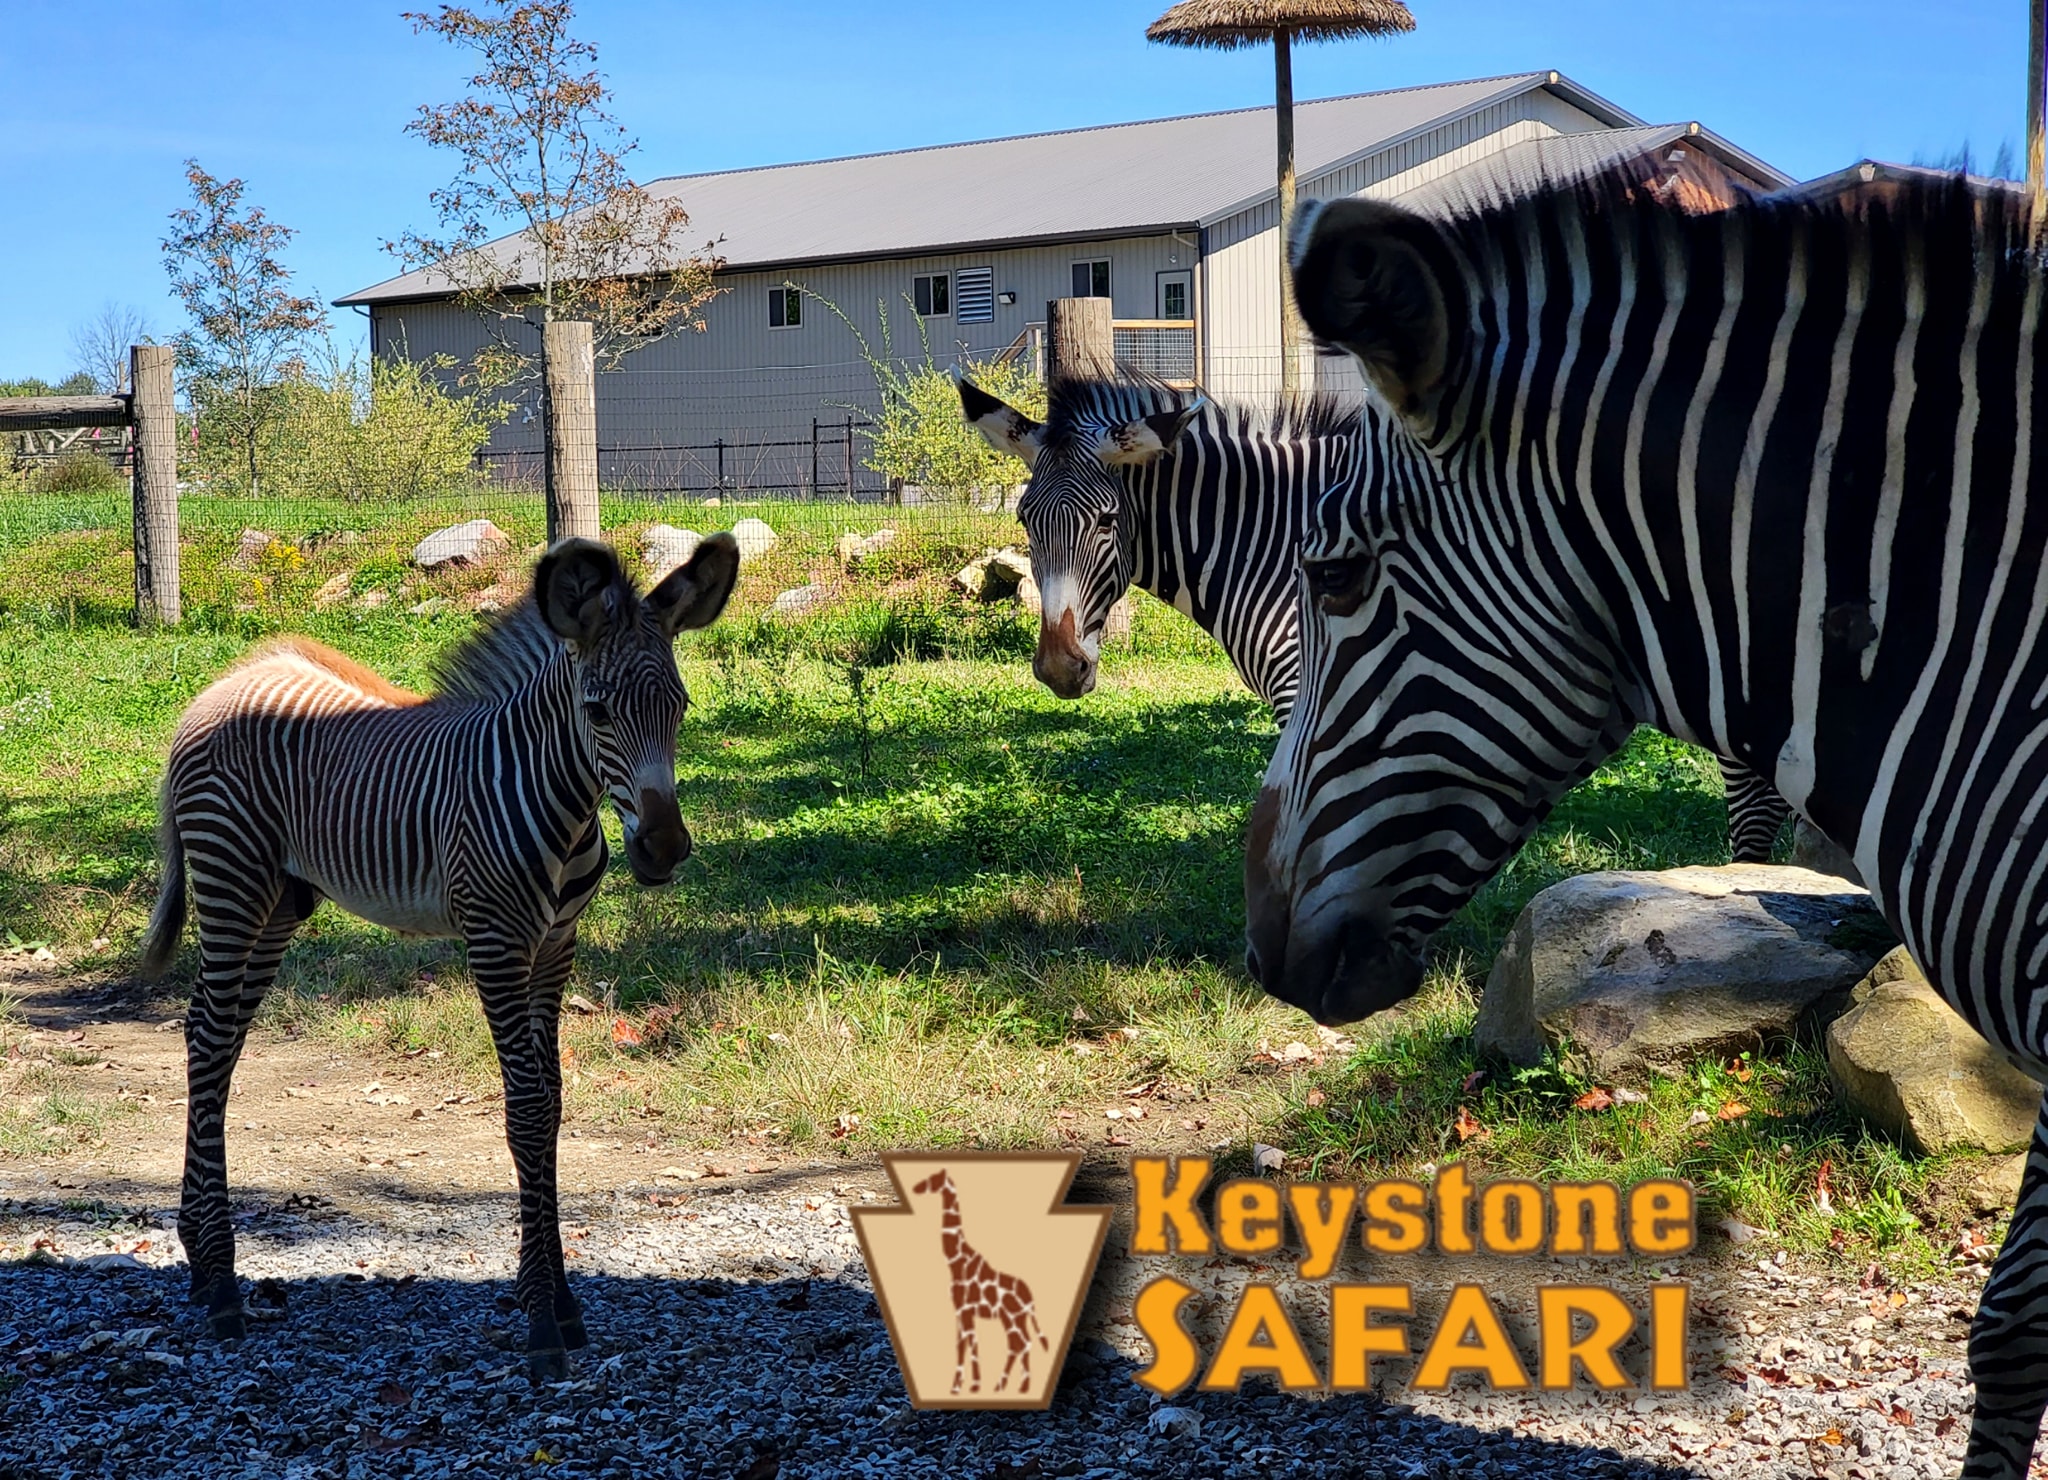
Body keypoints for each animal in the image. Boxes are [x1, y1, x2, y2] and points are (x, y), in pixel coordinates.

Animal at [140, 535, 739, 1381]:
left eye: (680, 708)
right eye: (597, 712)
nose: (662, 850)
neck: (560, 801)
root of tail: (225, 683)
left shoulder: (555, 948)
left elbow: (552, 1104)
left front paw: (562, 1301)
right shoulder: (494, 941)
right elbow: (525, 1109)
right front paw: (541, 1323)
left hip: (282, 900)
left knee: (218, 1042)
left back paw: (201, 1260)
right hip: (233, 883)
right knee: (207, 1033)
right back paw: (222, 1285)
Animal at [960, 375, 1795, 860]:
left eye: (1107, 522)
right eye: (1026, 519)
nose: (1058, 668)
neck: (1270, 534)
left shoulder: (1321, 683)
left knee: (1759, 809)